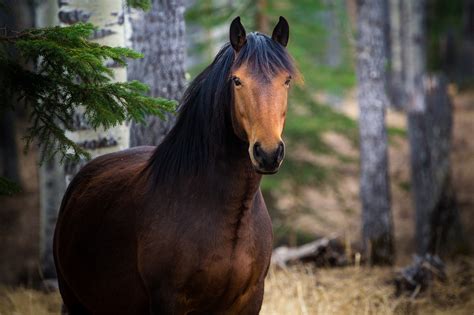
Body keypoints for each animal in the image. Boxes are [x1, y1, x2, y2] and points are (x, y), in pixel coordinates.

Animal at [53, 17, 298, 315]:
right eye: (237, 80)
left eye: (286, 80)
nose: (268, 153)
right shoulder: (168, 300)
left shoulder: (250, 300)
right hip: (74, 301)